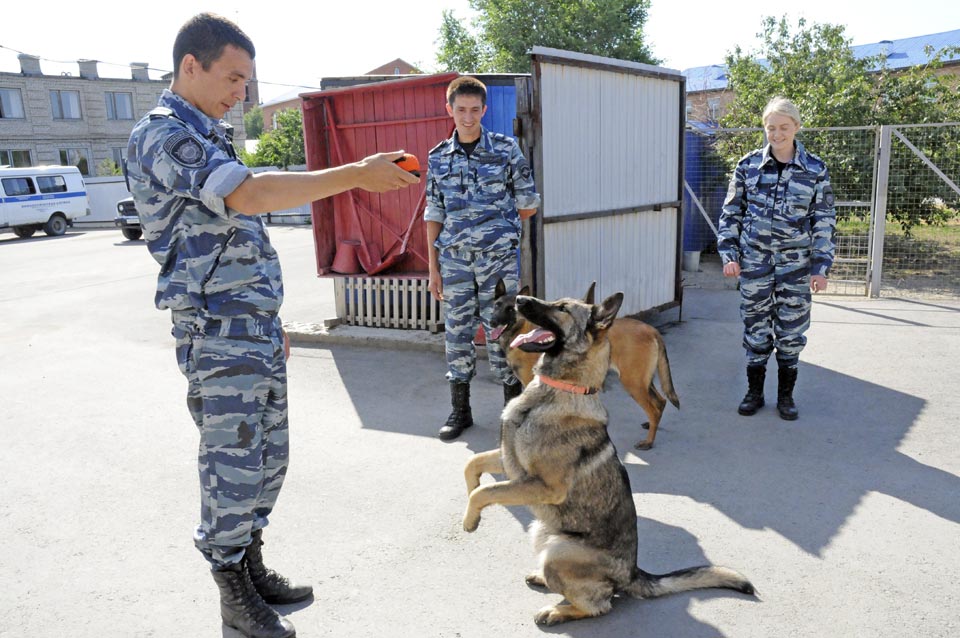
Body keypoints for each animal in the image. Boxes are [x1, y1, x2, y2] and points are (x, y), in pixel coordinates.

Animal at [492, 280, 680, 450]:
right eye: (496, 306)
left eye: (510, 309)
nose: (493, 321)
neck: (520, 330)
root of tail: (652, 330)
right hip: (642, 381)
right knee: (660, 401)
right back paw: (651, 425)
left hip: (633, 383)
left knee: (653, 407)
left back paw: (649, 441)